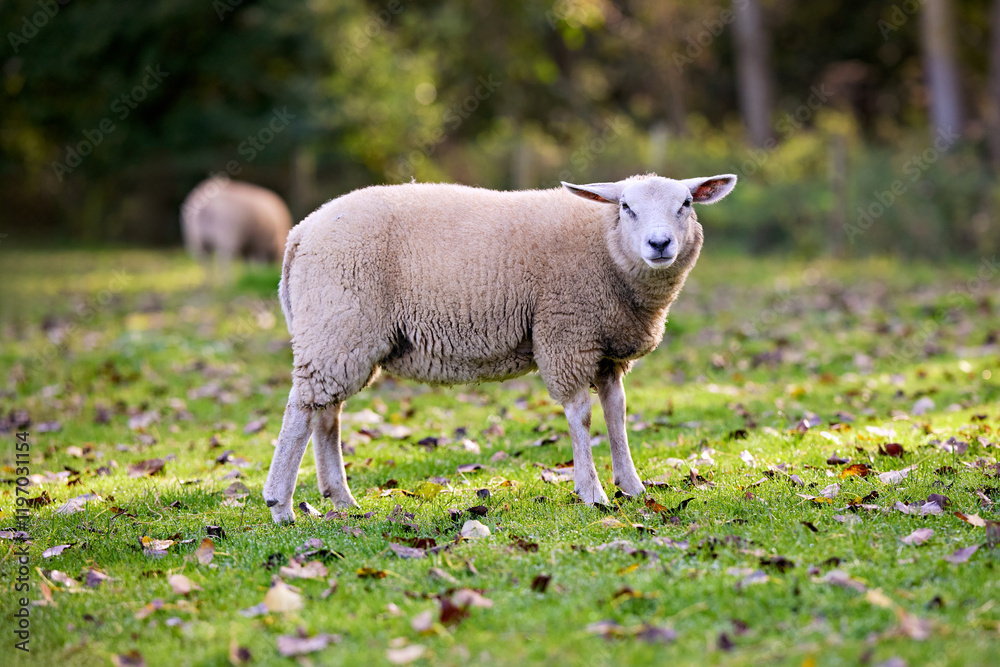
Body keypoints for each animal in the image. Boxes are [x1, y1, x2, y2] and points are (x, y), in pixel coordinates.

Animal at [262, 173, 737, 523]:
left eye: (686, 203)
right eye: (626, 207)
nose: (660, 244)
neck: (605, 246)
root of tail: (300, 233)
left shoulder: (605, 349)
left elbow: (616, 413)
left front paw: (633, 486)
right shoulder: (566, 333)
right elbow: (581, 416)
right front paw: (593, 491)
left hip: (340, 336)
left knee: (327, 414)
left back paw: (341, 499)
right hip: (338, 325)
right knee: (301, 410)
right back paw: (280, 505)